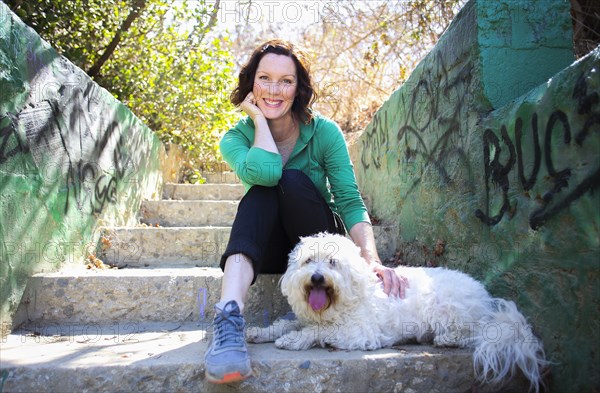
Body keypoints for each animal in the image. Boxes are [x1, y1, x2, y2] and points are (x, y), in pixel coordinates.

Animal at [246, 233, 548, 388]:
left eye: (332, 262)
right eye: (309, 261)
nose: (317, 278)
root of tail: (487, 301)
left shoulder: (358, 333)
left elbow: (316, 330)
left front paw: (292, 340)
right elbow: (285, 324)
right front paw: (260, 332)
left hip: (448, 310)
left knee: (469, 334)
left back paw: (445, 339)